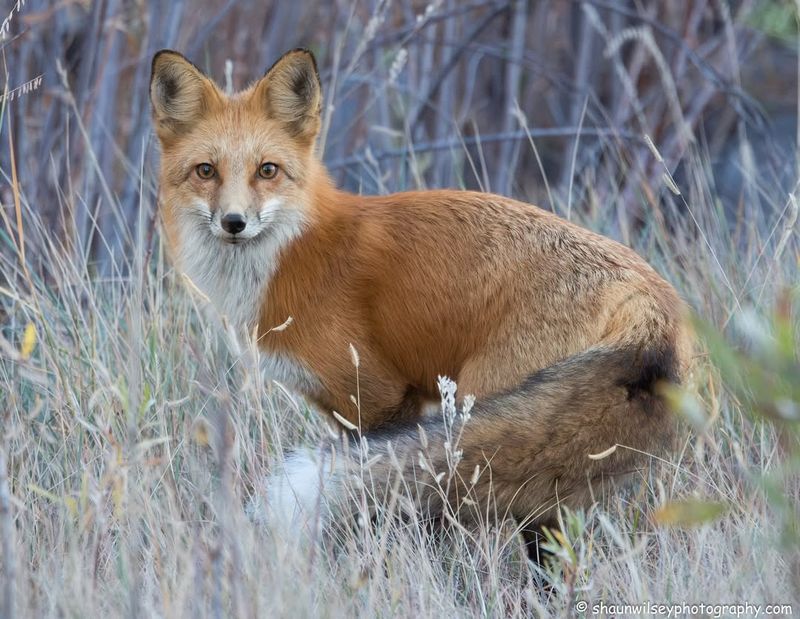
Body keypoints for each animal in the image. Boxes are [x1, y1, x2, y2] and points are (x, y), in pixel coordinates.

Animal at [150, 47, 692, 532]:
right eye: (206, 171)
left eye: (267, 170)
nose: (234, 222)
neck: (296, 251)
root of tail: (652, 296)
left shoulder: (378, 395)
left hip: (483, 397)